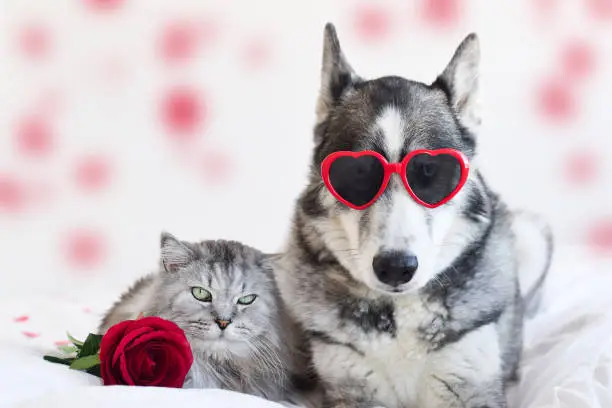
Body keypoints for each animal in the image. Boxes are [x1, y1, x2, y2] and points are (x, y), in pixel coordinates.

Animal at [274, 24, 552, 408]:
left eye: (431, 172)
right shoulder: (353, 386)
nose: (395, 267)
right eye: (357, 173)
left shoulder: (468, 382)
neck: (399, 311)